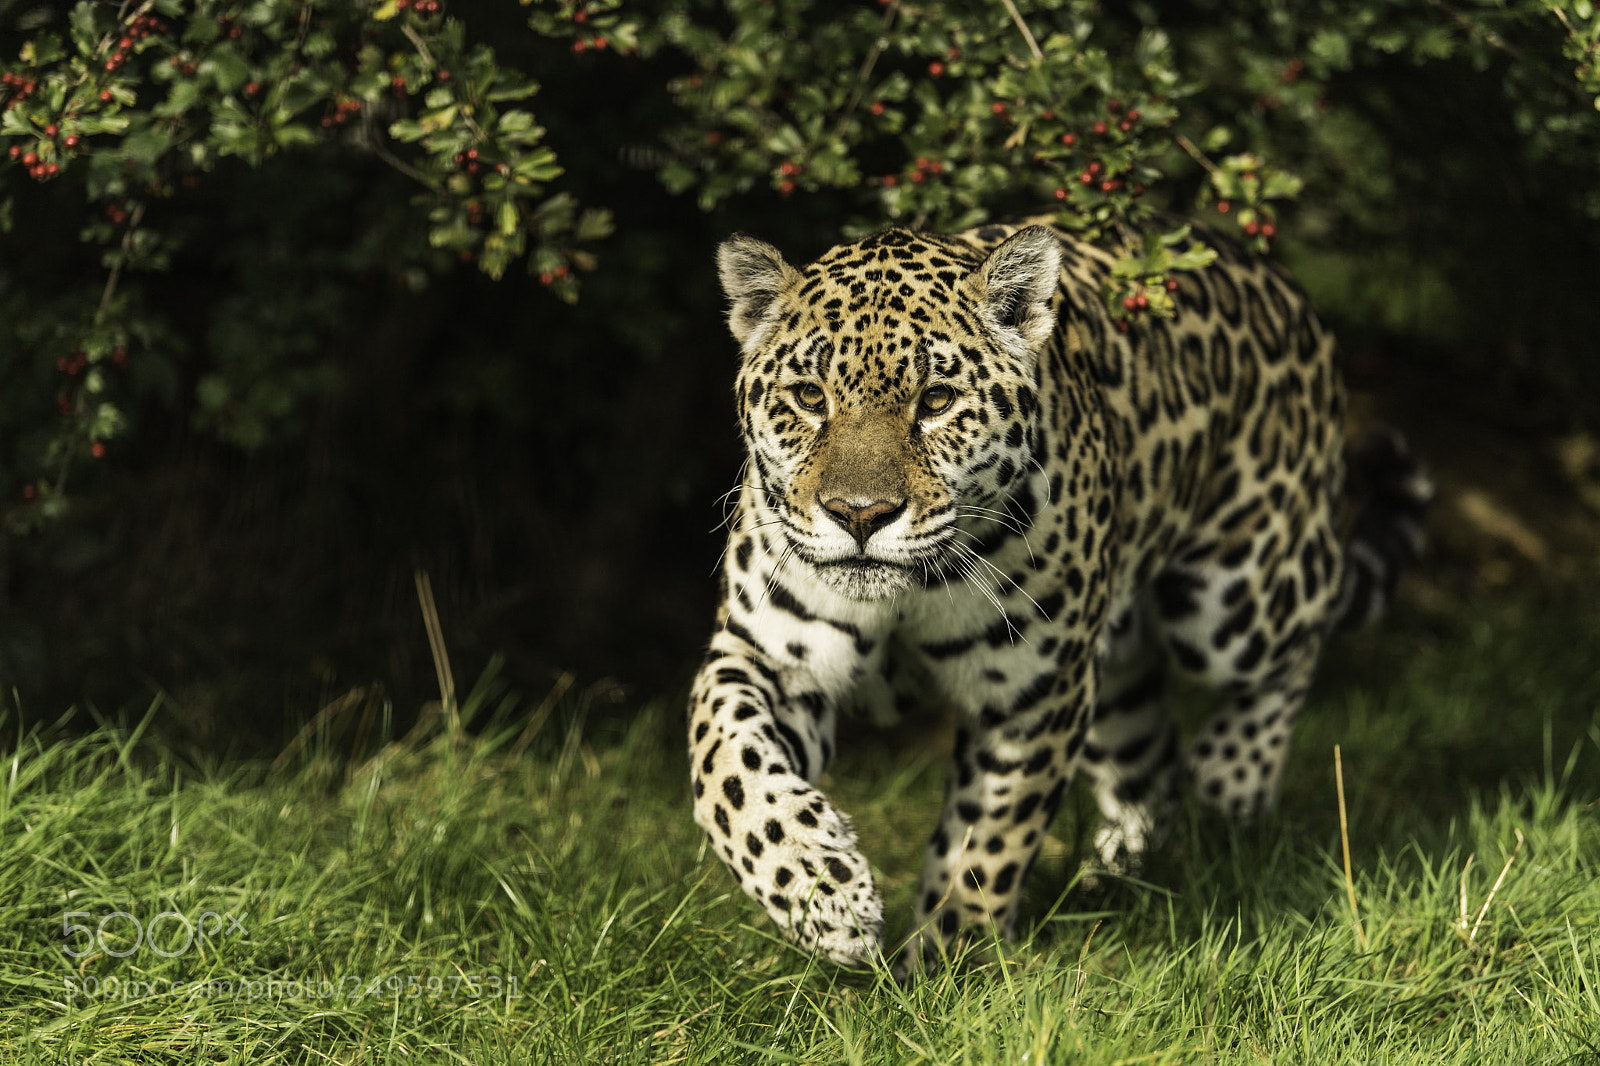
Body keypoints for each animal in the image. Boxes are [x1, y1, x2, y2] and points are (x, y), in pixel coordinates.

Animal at [687, 212, 1428, 970]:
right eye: (810, 398)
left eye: (937, 401)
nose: (860, 515)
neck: (906, 595)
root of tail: (1275, 276)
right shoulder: (764, 657)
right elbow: (728, 768)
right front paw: (821, 892)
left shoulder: (1034, 694)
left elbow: (989, 841)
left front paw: (952, 962)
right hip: (1117, 671)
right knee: (1151, 757)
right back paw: (1126, 870)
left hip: (1236, 598)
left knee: (1302, 634)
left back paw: (1231, 779)